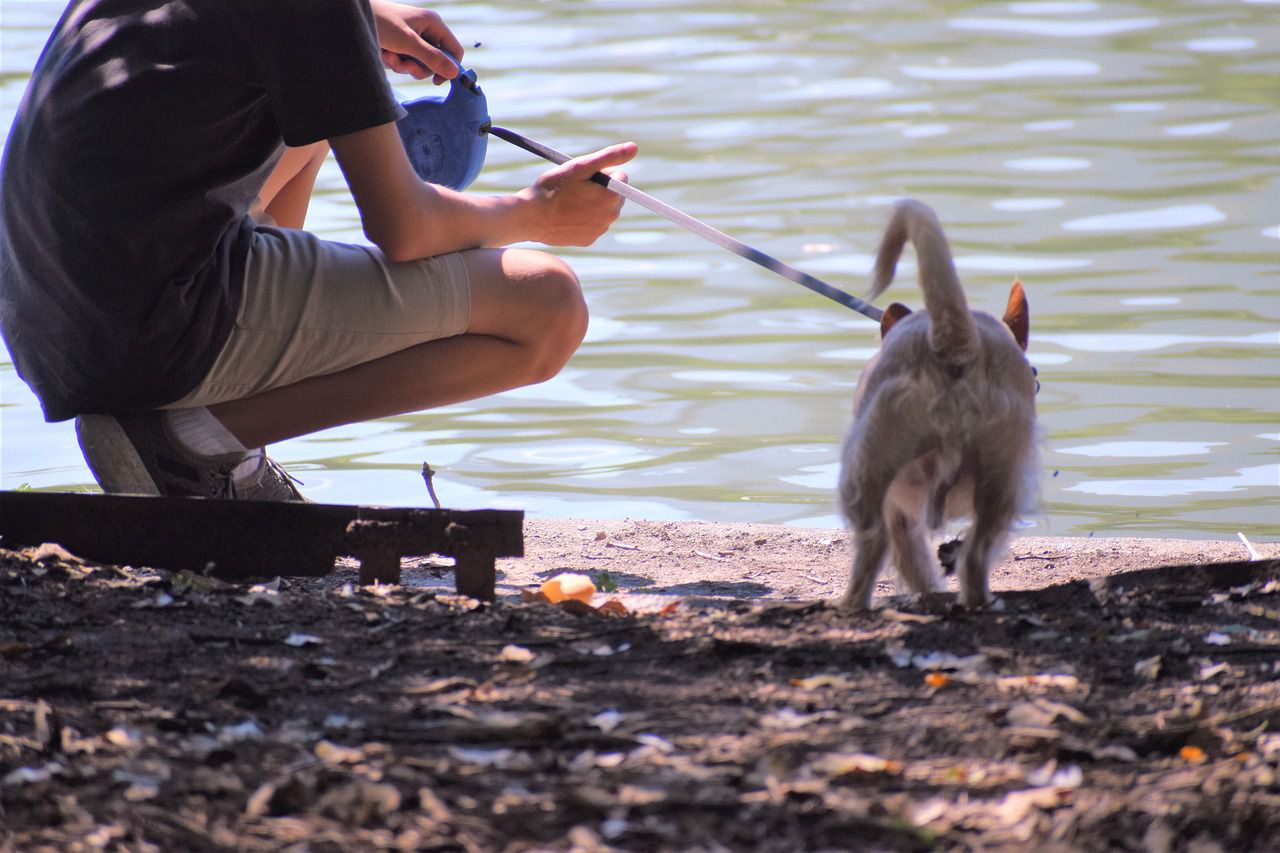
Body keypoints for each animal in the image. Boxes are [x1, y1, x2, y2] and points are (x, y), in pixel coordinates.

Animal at [839, 199, 1039, 607]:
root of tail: (954, 339)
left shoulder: (898, 507)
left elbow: (911, 558)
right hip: (1004, 479)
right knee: (976, 555)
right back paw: (981, 601)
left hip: (867, 474)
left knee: (873, 546)